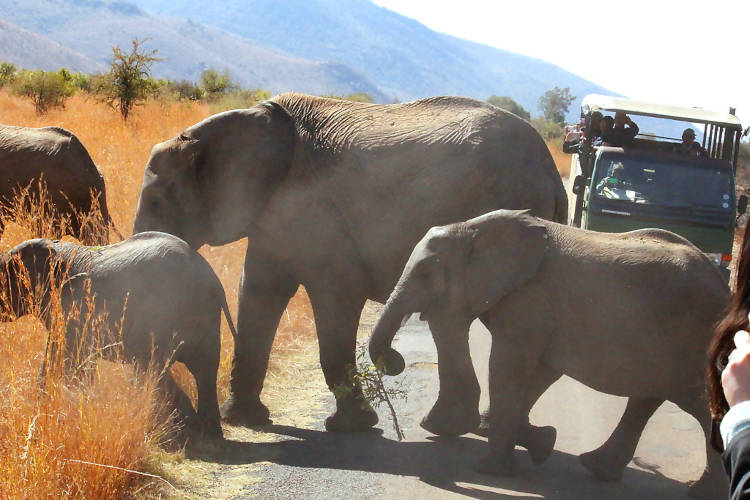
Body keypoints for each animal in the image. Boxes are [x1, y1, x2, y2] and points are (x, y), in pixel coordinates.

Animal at [132, 94, 568, 434]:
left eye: (155, 201)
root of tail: (550, 169)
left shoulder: (314, 209)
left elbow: (335, 296)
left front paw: (353, 427)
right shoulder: (273, 212)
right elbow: (258, 290)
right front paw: (245, 419)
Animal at [374, 209, 732, 498]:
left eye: (425, 274)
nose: (394, 359)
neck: (472, 226)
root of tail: (723, 286)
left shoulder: (529, 299)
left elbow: (508, 366)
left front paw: (493, 470)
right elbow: (541, 371)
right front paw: (542, 443)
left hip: (693, 341)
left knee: (699, 407)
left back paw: (702, 493)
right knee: (646, 400)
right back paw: (597, 467)